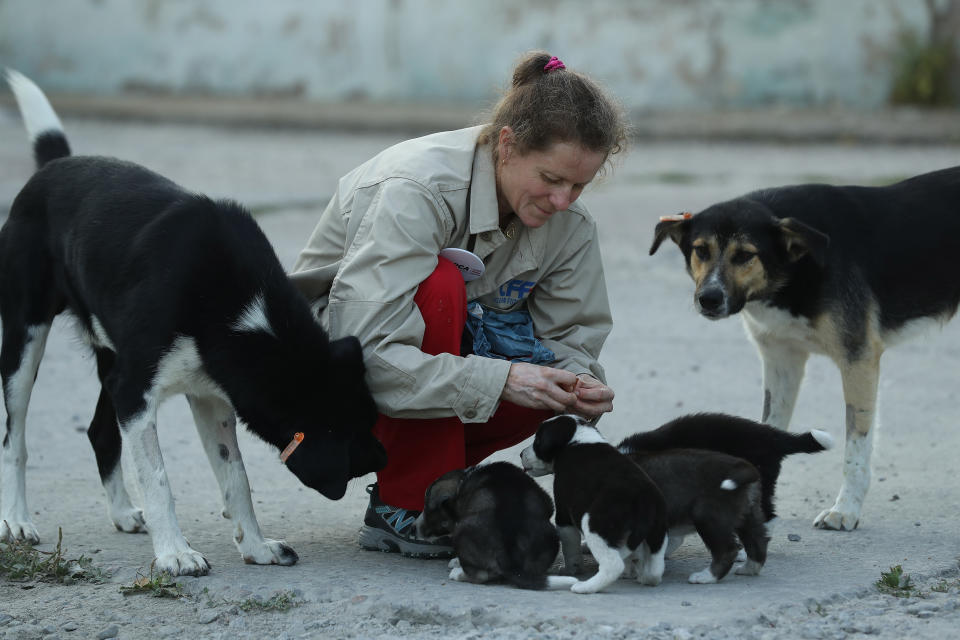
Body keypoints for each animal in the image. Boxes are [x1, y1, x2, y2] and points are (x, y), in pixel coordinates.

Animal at [2, 70, 390, 576]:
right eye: (357, 430)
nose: (386, 457)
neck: (244, 312)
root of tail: (55, 166)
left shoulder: (208, 395)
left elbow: (236, 475)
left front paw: (256, 547)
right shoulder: (138, 393)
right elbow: (158, 477)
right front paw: (175, 554)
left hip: (112, 360)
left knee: (100, 433)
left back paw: (122, 513)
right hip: (26, 338)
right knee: (14, 436)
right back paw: (16, 520)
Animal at [414, 460, 576, 592]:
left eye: (427, 507)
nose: (412, 529)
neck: (463, 481)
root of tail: (508, 559)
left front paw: (455, 562)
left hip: (461, 533)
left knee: (480, 576)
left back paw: (458, 573)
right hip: (551, 537)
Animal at [516, 416, 668, 596]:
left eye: (538, 441)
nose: (520, 453)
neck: (576, 439)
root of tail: (643, 499)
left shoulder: (564, 514)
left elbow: (570, 548)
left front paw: (571, 570)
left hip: (595, 525)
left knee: (613, 564)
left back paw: (585, 587)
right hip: (658, 530)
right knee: (656, 567)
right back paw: (646, 578)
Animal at [644, 166, 960, 528]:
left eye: (745, 255)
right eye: (701, 250)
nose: (709, 299)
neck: (793, 270)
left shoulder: (859, 358)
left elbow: (856, 447)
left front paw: (845, 510)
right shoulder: (781, 360)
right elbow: (767, 428)